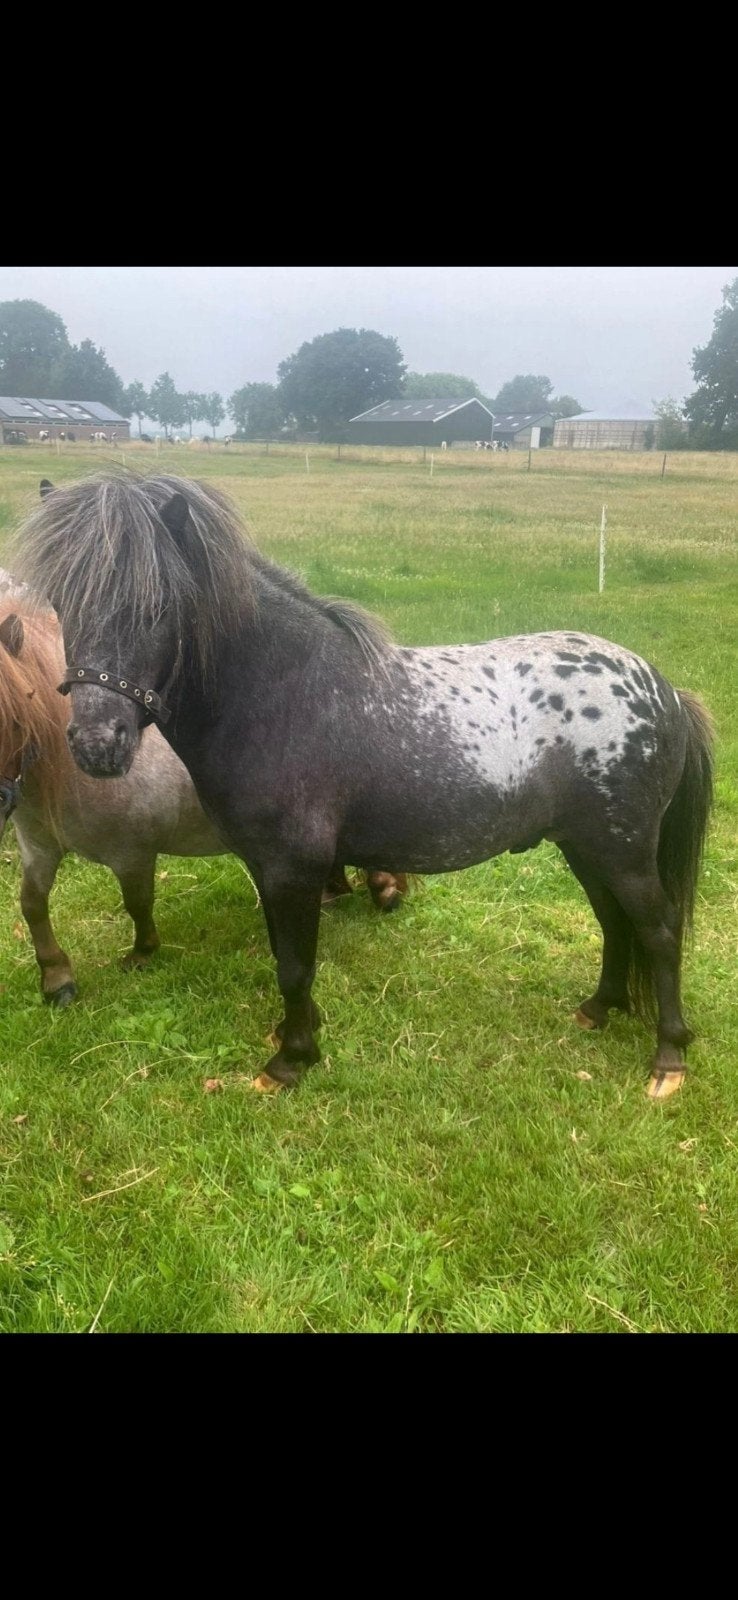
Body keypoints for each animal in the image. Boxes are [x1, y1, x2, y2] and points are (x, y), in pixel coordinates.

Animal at [0, 577, 405, 1006]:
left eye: (14, 718)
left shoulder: (132, 853)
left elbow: (137, 902)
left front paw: (143, 953)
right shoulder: (39, 848)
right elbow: (32, 904)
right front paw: (56, 978)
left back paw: (385, 889)